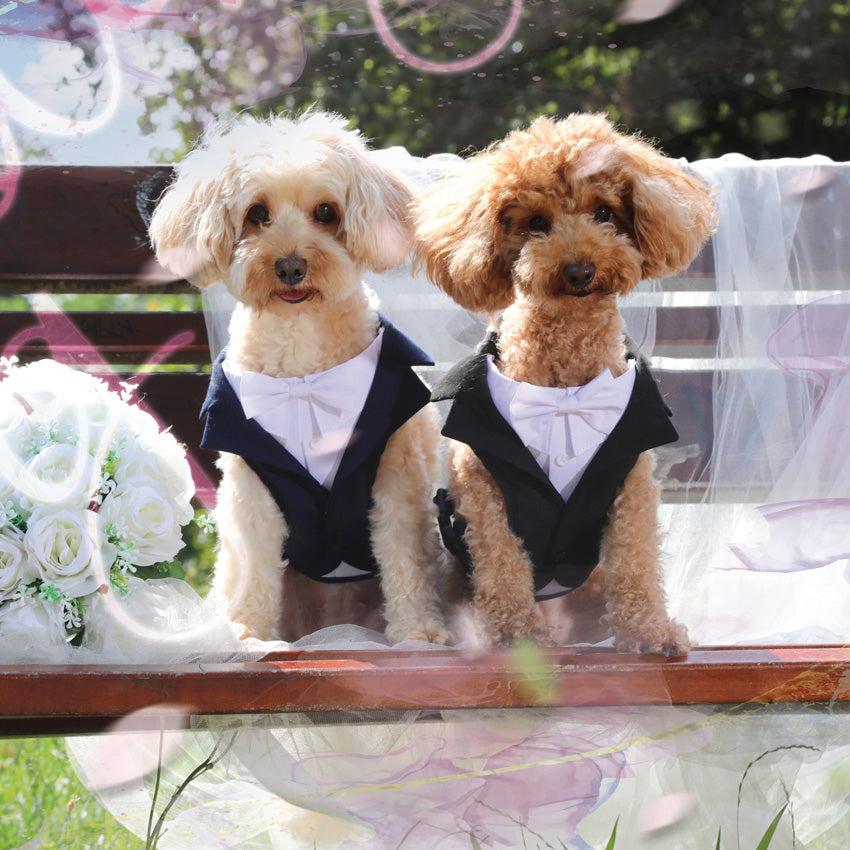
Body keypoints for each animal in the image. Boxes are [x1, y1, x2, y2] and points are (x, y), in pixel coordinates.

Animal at [147, 114, 450, 644]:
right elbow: (256, 564)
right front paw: (247, 631)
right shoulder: (253, 489)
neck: (303, 370)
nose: (290, 266)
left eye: (326, 211)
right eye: (256, 214)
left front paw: (418, 630)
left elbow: (405, 556)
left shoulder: (399, 476)